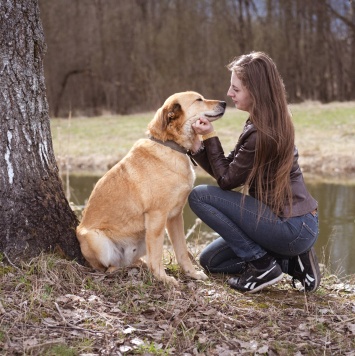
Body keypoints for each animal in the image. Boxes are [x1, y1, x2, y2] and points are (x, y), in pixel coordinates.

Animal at [76, 91, 227, 284]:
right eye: (199, 100)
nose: (224, 103)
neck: (171, 145)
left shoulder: (175, 216)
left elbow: (182, 250)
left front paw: (191, 273)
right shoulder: (157, 217)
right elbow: (156, 253)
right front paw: (163, 278)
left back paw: (138, 265)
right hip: (97, 240)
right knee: (106, 267)